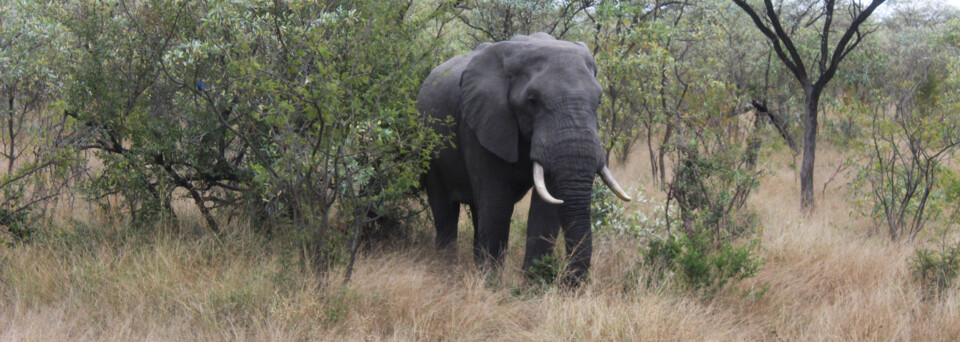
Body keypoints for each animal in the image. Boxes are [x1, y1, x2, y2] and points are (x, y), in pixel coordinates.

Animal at [418, 32, 632, 284]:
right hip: (427, 142)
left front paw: (533, 283)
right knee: (444, 206)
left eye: (598, 101)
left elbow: (546, 208)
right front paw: (492, 282)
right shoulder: (480, 121)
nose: (567, 282)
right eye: (532, 102)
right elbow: (497, 201)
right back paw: (447, 267)